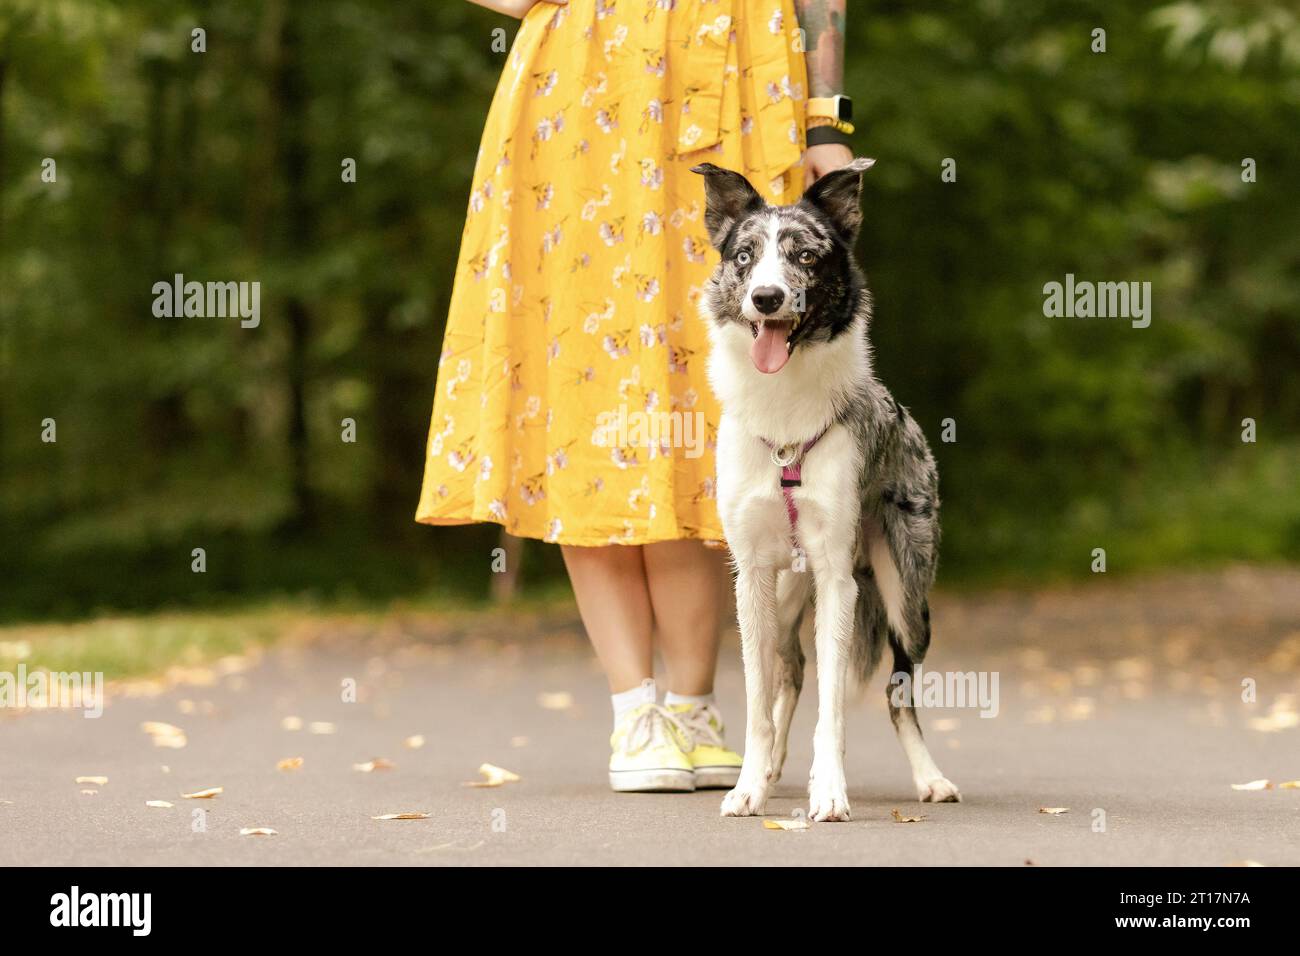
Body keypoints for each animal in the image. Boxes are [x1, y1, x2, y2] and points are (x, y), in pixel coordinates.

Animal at [696, 157, 961, 822]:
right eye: (744, 256)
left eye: (807, 257)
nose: (766, 297)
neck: (785, 419)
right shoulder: (752, 577)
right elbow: (759, 701)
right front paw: (749, 786)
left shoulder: (838, 577)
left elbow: (833, 708)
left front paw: (830, 791)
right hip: (791, 588)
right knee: (789, 671)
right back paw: (770, 768)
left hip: (906, 596)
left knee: (897, 693)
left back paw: (931, 779)